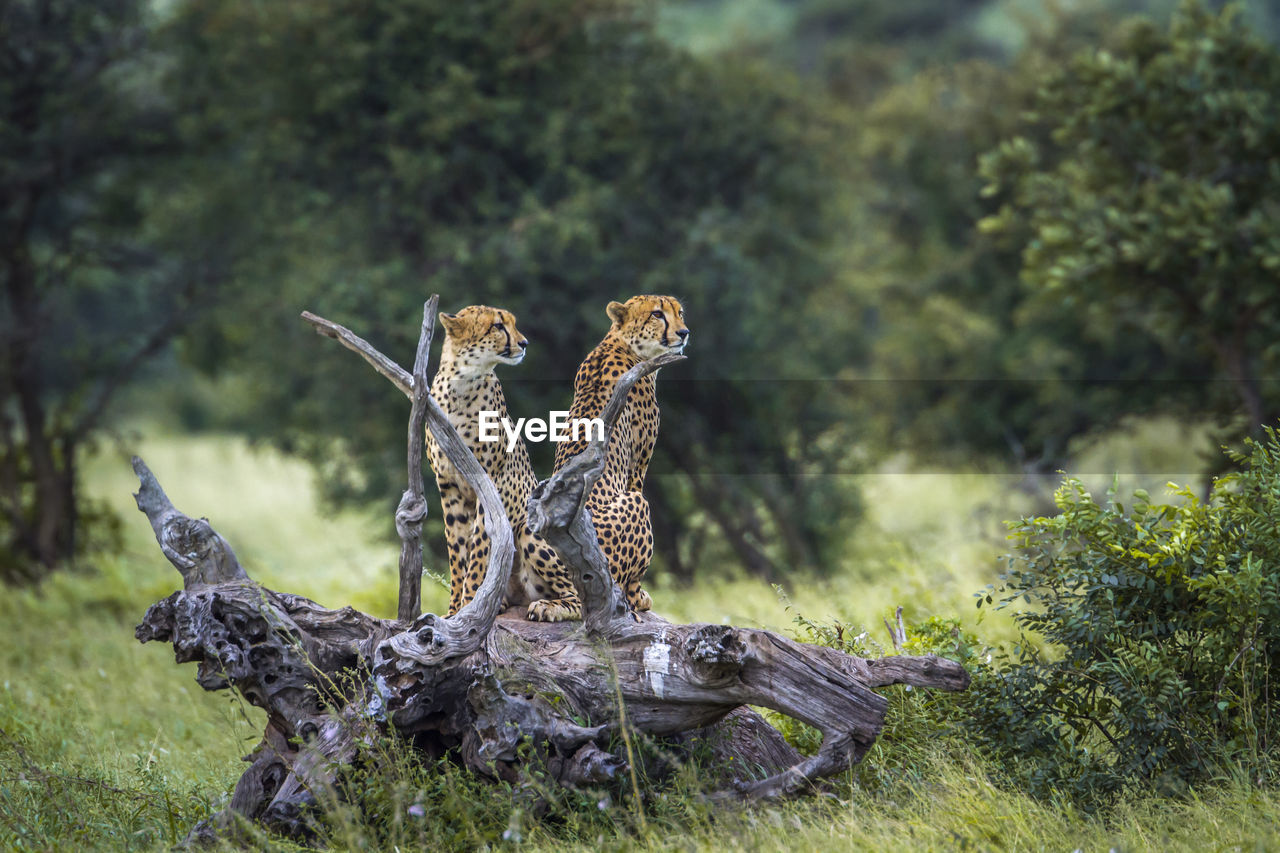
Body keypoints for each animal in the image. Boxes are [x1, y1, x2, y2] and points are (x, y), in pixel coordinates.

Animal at [430, 303, 581, 617]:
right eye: (498, 325)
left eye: (511, 323)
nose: (524, 343)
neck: (462, 383)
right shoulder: (448, 487)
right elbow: (457, 552)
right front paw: (453, 610)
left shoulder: (488, 485)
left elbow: (479, 550)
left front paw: (470, 604)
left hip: (528, 529)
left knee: (579, 596)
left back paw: (550, 608)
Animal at [550, 294, 691, 612]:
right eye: (657, 314)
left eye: (680, 312)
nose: (684, 333)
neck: (620, 342)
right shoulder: (639, 464)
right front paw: (640, 596)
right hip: (637, 505)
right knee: (625, 583)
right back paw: (637, 596)